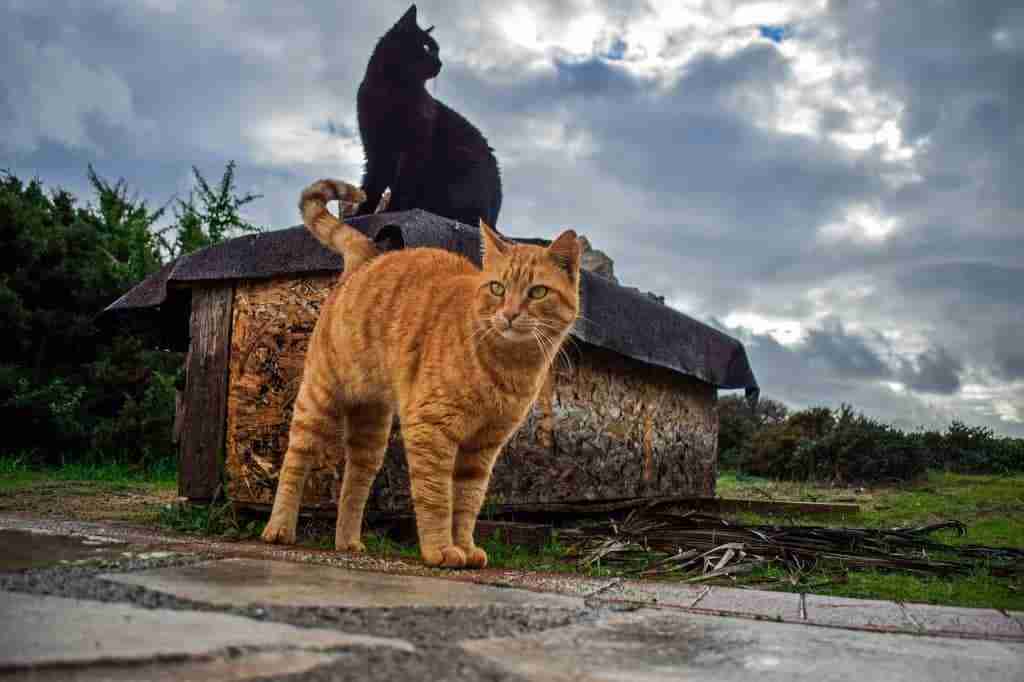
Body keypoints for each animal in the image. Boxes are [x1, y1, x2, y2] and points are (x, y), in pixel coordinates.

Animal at [260, 178, 581, 565]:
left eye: (537, 292)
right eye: (497, 288)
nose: (509, 315)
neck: (508, 365)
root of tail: (368, 256)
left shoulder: (482, 448)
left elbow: (467, 503)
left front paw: (465, 547)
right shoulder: (431, 429)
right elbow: (436, 498)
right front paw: (441, 549)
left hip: (371, 428)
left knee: (355, 484)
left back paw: (347, 541)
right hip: (318, 401)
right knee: (295, 462)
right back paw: (279, 529)